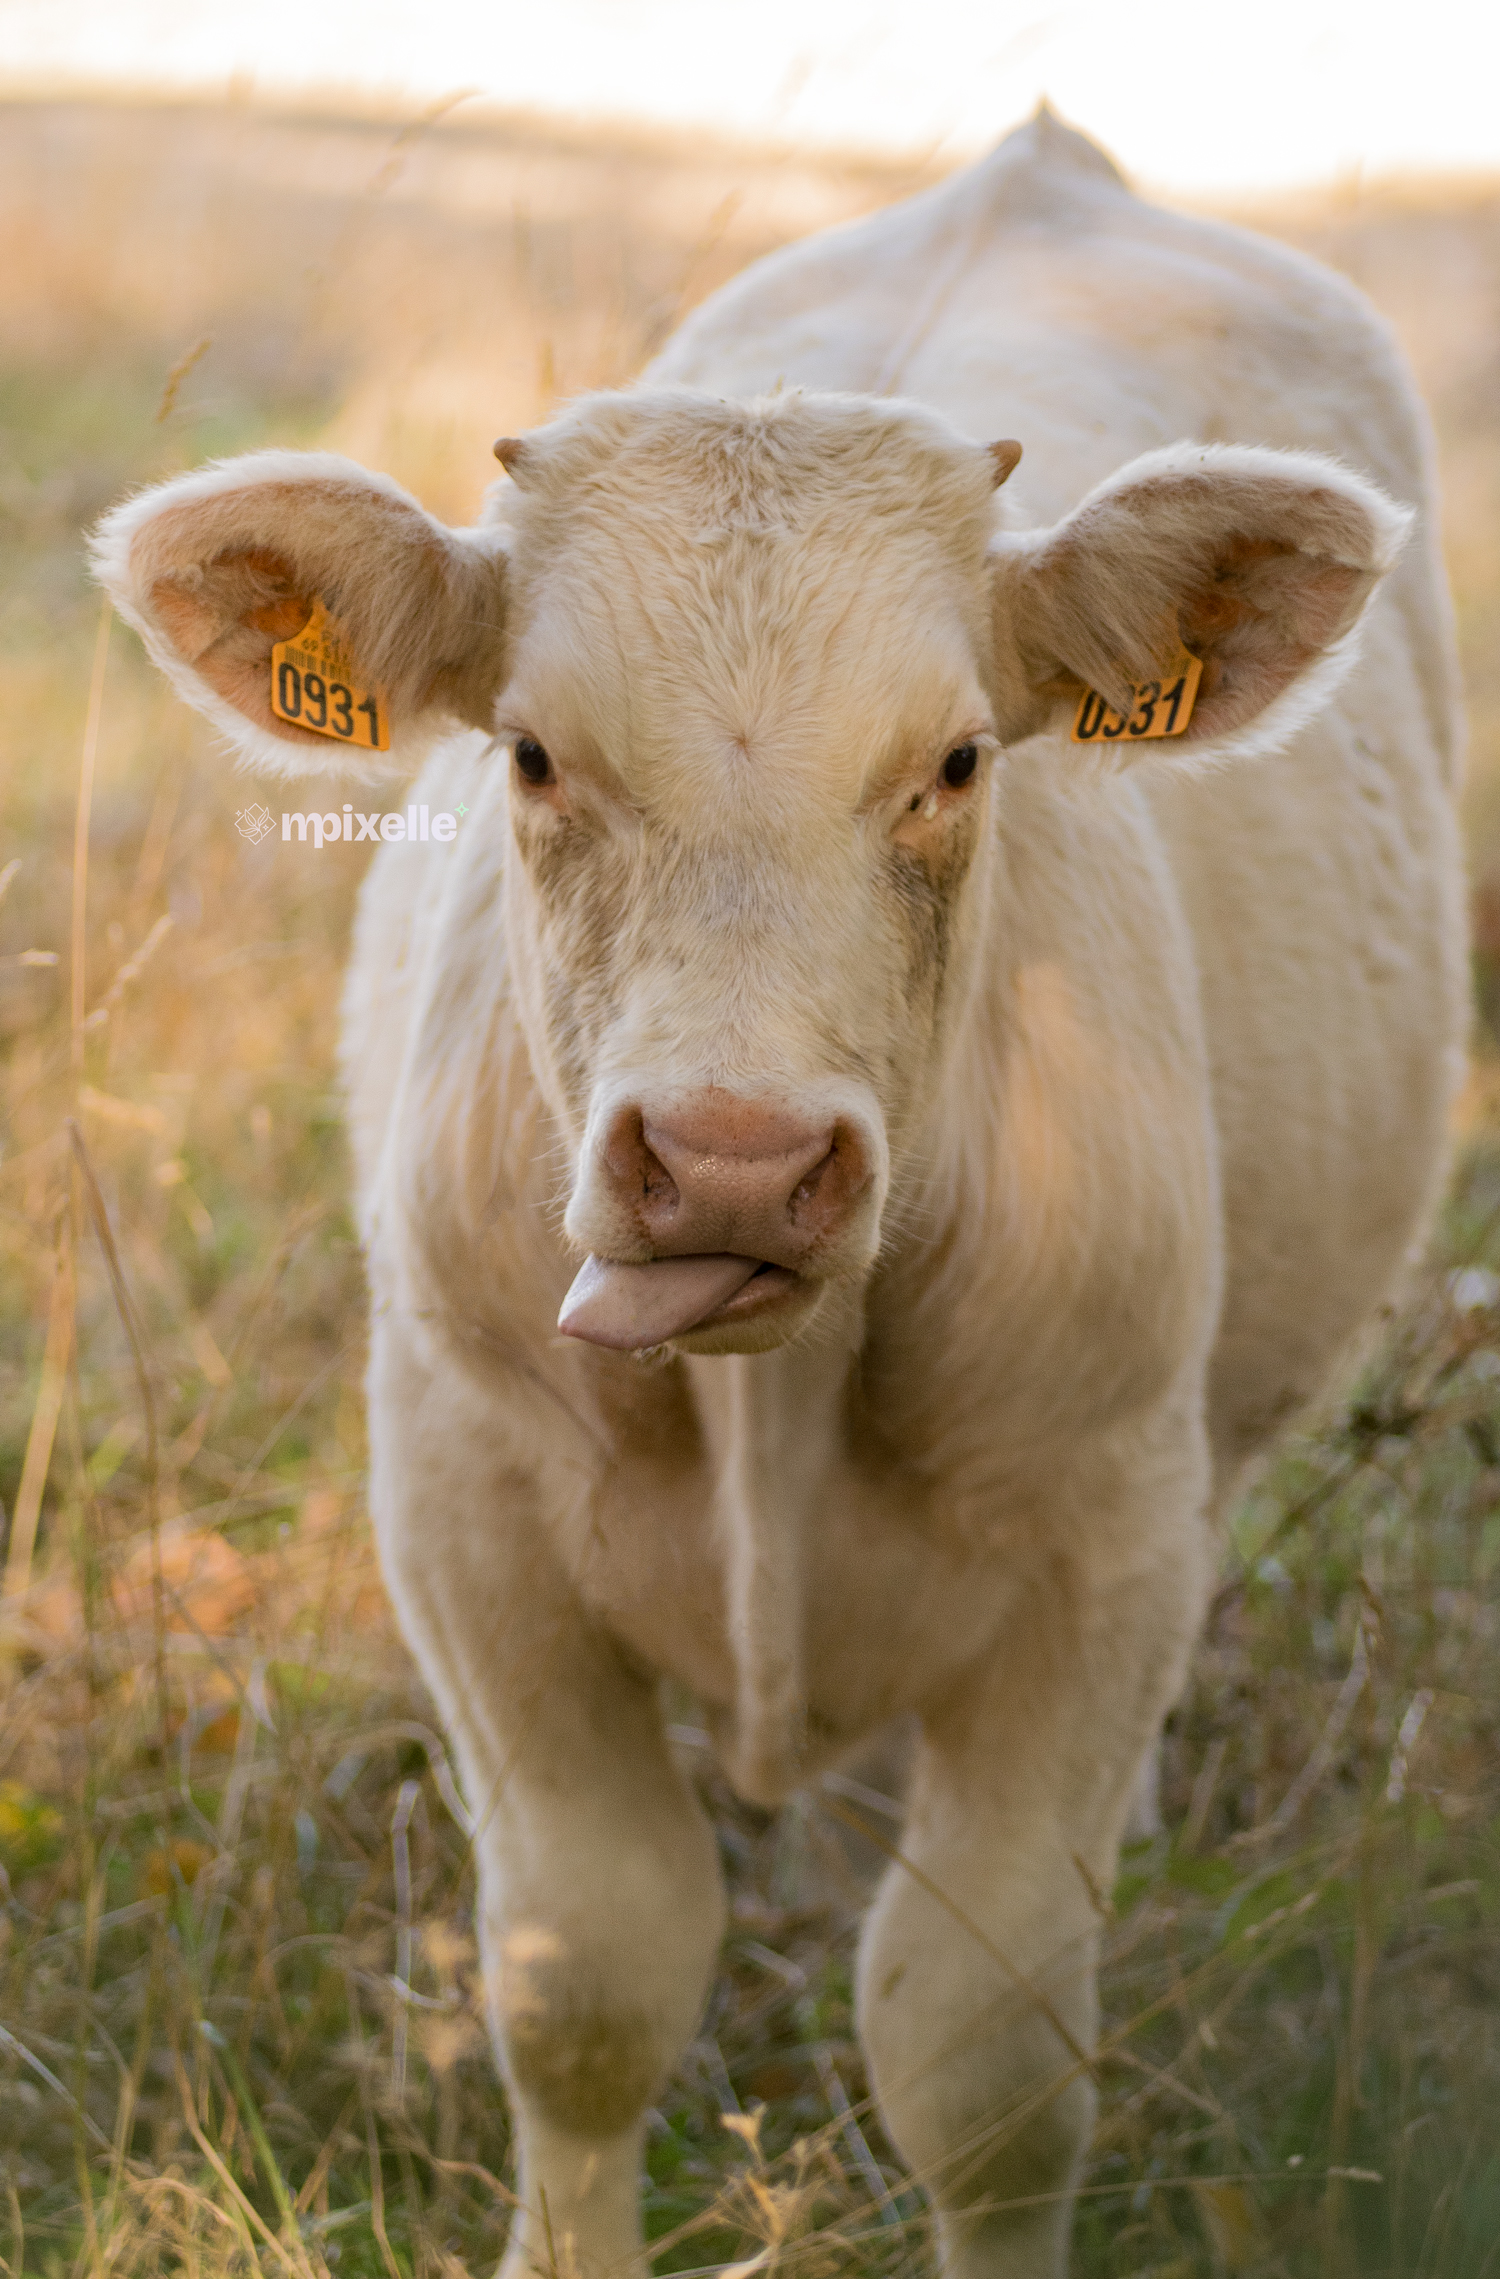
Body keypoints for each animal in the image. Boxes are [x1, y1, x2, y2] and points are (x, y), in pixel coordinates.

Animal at [94, 107, 1464, 2279]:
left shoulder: (1109, 1536)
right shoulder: (462, 1501)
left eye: (962, 760)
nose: (733, 1152)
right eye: (532, 753)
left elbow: (982, 2049)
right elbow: (588, 1973)